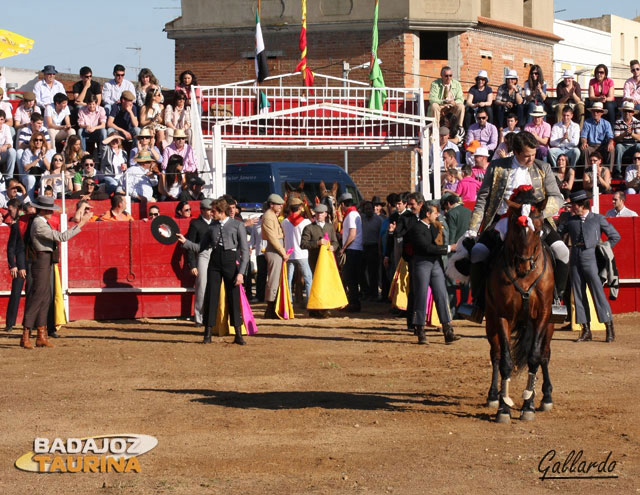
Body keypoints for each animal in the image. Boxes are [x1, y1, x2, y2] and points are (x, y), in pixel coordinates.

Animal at [484, 192, 556, 424]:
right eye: (516, 229)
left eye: (539, 227)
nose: (524, 264)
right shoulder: (502, 316)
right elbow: (506, 361)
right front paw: (503, 409)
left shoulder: (542, 315)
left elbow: (535, 357)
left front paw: (528, 406)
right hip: (490, 321)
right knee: (496, 354)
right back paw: (493, 396)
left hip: (550, 324)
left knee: (545, 354)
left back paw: (546, 397)